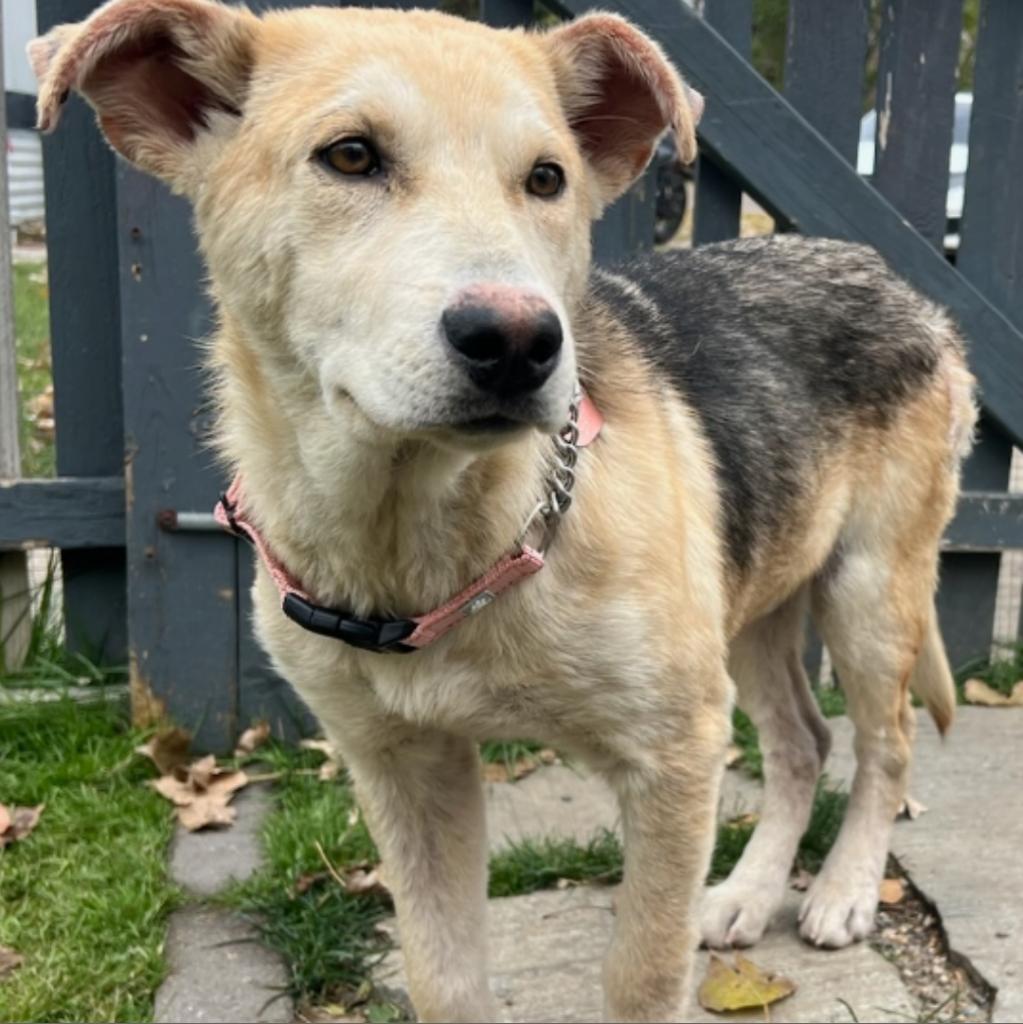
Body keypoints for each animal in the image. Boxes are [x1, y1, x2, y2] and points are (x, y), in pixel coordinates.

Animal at [32, 4, 974, 1019]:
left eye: (547, 178)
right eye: (350, 156)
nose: (520, 342)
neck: (425, 537)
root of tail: (894, 276)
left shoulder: (672, 756)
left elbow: (643, 973)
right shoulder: (403, 766)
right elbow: (441, 974)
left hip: (869, 592)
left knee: (885, 746)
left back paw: (841, 893)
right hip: (754, 601)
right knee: (803, 742)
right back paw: (749, 894)